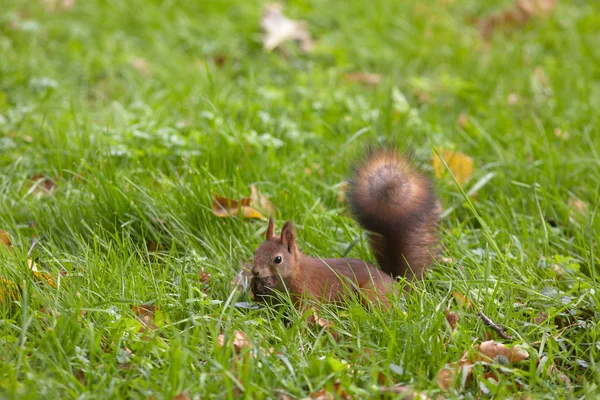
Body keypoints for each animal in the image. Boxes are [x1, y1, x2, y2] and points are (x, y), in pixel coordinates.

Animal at [248, 148, 440, 308]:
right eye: (256, 251)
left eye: (278, 259)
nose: (255, 271)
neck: (296, 270)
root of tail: (396, 284)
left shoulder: (307, 291)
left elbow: (307, 311)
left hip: (371, 293)